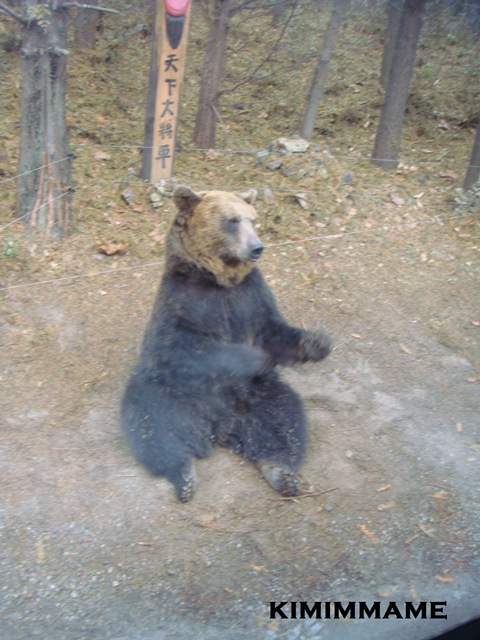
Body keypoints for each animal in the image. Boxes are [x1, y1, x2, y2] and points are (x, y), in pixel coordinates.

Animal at [121, 186, 332, 502]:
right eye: (232, 220)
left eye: (253, 220)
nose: (257, 247)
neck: (220, 281)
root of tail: (219, 427)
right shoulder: (185, 300)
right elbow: (178, 345)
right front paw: (254, 357)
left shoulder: (251, 296)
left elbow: (274, 330)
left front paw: (317, 342)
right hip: (172, 392)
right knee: (155, 423)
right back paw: (183, 474)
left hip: (260, 396)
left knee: (284, 422)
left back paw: (282, 473)